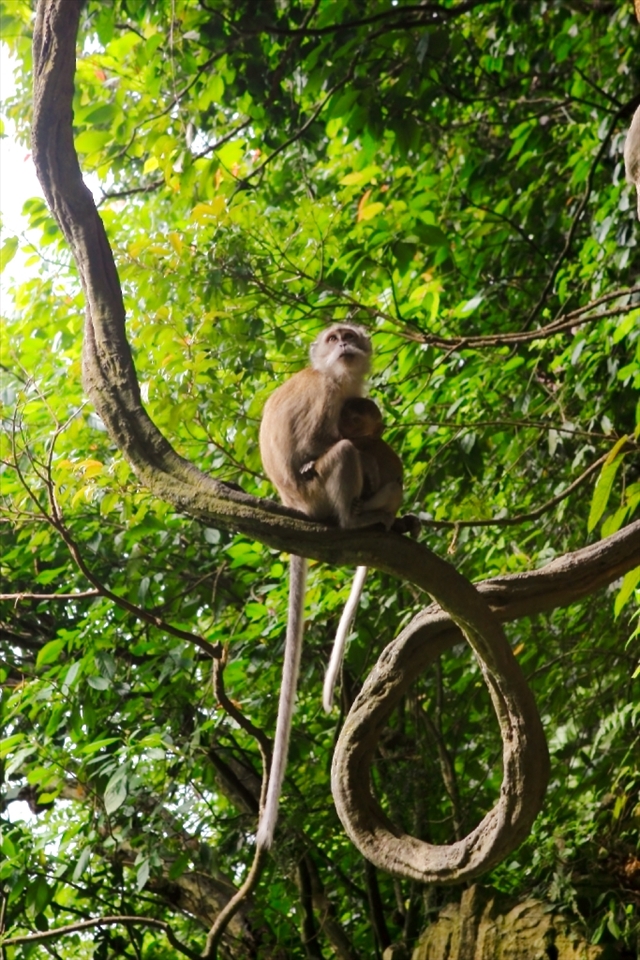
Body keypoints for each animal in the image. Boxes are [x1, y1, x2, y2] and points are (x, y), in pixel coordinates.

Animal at [257, 324, 401, 849]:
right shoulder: (326, 394)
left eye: (351, 335)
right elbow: (322, 442)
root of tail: (292, 505)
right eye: (334, 337)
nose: (345, 345)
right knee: (341, 453)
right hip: (315, 494)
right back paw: (356, 518)